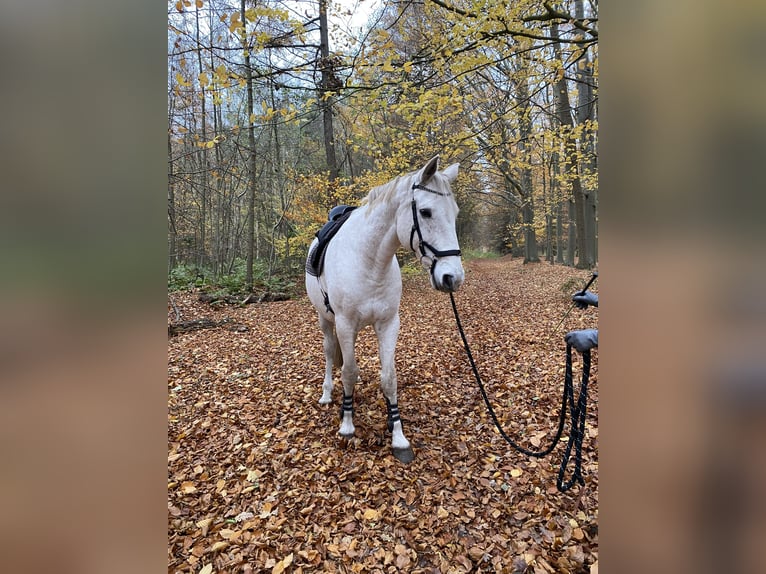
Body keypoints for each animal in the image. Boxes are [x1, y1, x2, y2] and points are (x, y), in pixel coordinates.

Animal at [308, 156, 468, 464]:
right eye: (426, 212)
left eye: (455, 214)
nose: (452, 277)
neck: (369, 260)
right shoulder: (345, 324)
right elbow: (348, 372)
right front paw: (347, 425)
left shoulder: (389, 324)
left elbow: (389, 377)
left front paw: (398, 435)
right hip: (326, 320)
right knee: (330, 353)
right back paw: (328, 394)